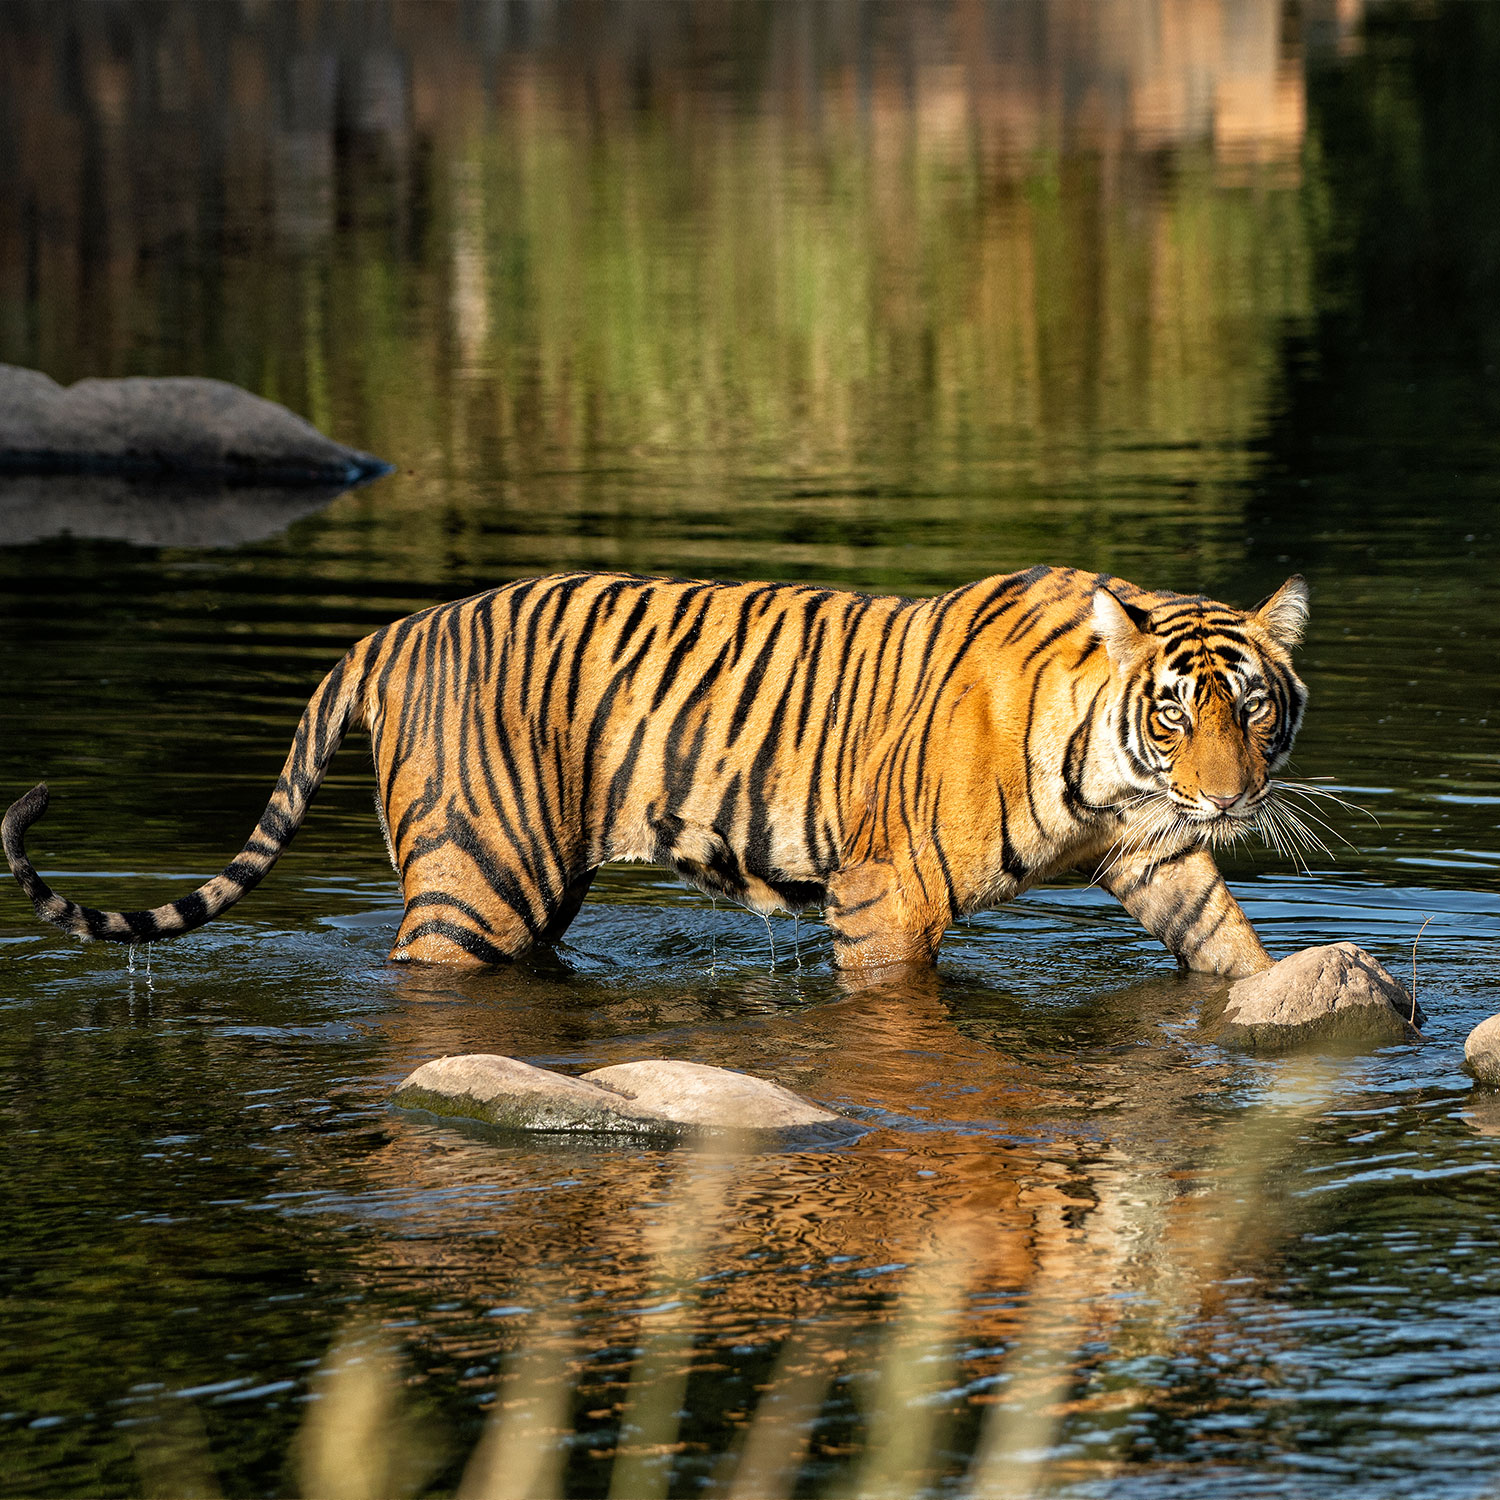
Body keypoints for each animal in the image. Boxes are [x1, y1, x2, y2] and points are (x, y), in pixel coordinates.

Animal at [5, 567, 1308, 978]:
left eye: (1251, 706)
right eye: (1174, 712)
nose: (1229, 796)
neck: (1112, 770)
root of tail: (396, 631)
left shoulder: (1153, 855)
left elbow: (1225, 941)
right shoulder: (887, 897)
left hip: (533, 889)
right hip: (477, 886)